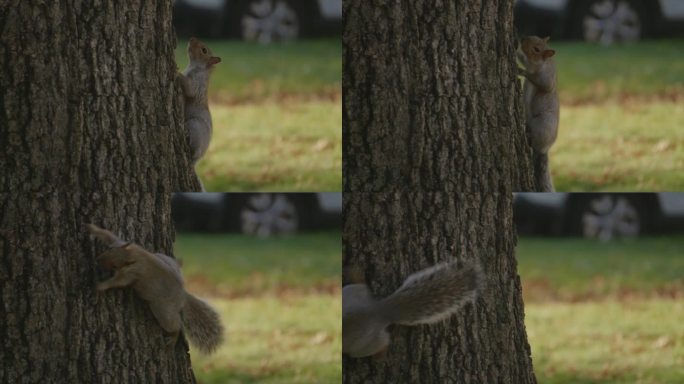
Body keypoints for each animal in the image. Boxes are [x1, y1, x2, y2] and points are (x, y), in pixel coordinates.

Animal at [85, 222, 224, 354]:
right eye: (109, 249)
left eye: (115, 265)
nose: (97, 259)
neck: (134, 255)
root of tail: (182, 296)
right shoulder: (121, 242)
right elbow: (108, 235)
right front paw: (92, 228)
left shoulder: (132, 274)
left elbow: (118, 282)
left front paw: (100, 286)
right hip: (164, 258)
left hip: (163, 311)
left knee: (176, 326)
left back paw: (172, 339)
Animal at [176, 36, 222, 190]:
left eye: (204, 50)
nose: (192, 38)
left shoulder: (197, 84)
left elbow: (190, 90)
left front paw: (176, 72)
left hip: (195, 126)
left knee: (193, 150)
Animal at [340, 260, 480, 358]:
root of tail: (379, 309)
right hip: (352, 292)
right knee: (361, 283)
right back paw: (352, 271)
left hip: (363, 347)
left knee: (383, 343)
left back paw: (379, 357)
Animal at [516, 36, 560, 192]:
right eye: (534, 37)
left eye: (536, 49)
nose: (522, 39)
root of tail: (544, 149)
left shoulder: (547, 78)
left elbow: (542, 83)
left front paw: (521, 70)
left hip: (542, 124)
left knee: (533, 142)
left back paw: (528, 136)